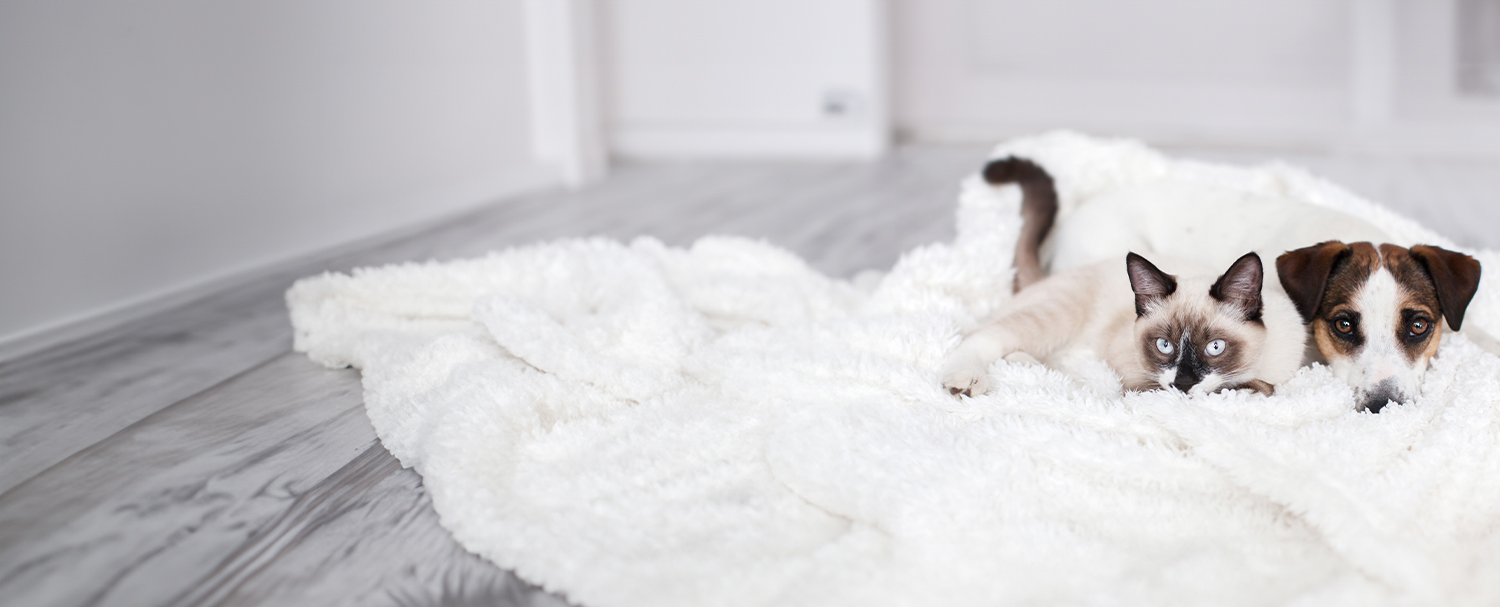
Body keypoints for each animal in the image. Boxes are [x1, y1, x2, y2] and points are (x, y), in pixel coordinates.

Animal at [942, 158, 1308, 398]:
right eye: (1163, 345)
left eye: (1215, 347)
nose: (1183, 383)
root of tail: (1045, 277)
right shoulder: (1140, 380)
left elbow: (1262, 387)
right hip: (1055, 318)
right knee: (981, 336)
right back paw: (964, 380)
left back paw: (1029, 365)